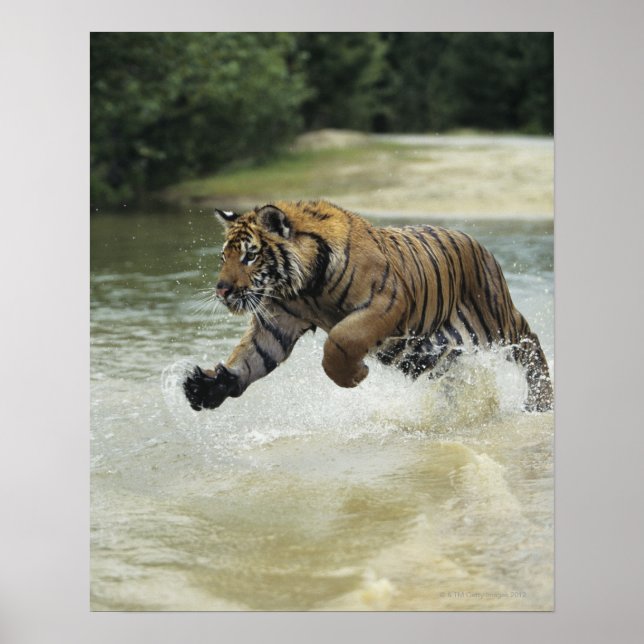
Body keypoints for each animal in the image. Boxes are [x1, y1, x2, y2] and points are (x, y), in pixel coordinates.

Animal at [183, 200, 553, 413]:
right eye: (224, 257)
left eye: (250, 255)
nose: (222, 290)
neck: (303, 289)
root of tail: (478, 243)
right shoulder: (277, 323)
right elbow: (251, 357)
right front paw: (205, 387)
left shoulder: (385, 303)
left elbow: (340, 341)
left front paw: (354, 377)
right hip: (428, 353)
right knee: (453, 376)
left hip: (494, 321)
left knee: (531, 343)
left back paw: (540, 402)